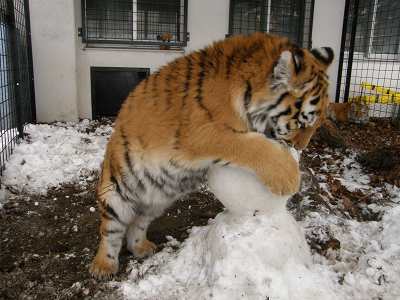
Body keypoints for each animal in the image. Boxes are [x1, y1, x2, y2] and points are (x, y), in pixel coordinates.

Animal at [89, 31, 332, 278]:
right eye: (303, 124)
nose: (300, 147)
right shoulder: (204, 133)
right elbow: (251, 145)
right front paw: (288, 177)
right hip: (115, 195)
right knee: (110, 233)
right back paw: (102, 266)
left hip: (155, 202)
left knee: (137, 224)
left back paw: (141, 247)